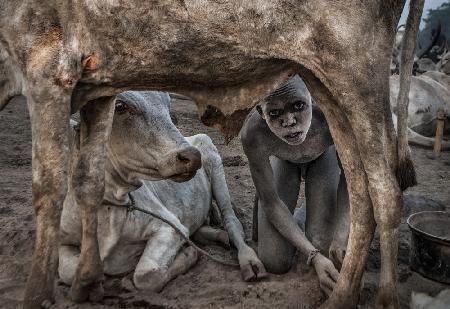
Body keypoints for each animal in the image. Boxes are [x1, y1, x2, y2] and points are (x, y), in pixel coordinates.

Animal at [57, 91, 266, 292]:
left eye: (167, 104)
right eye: (119, 106)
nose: (192, 156)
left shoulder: (169, 227)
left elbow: (146, 275)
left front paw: (189, 253)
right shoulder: (64, 241)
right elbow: (69, 272)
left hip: (215, 165)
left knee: (231, 221)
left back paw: (248, 260)